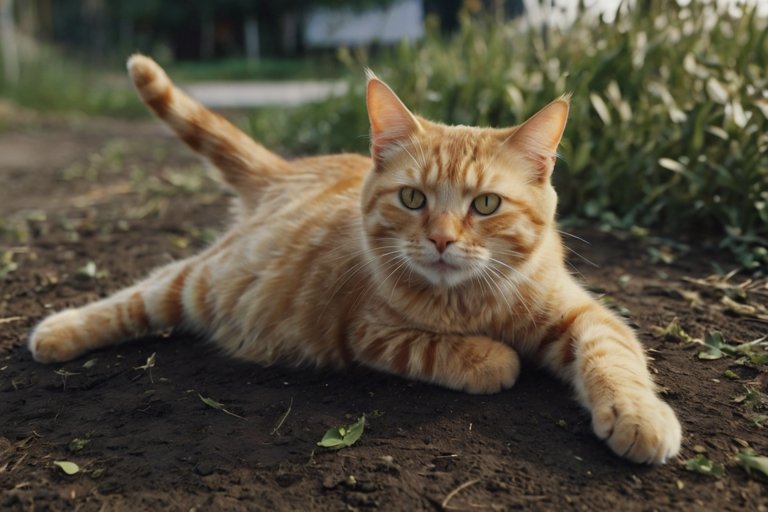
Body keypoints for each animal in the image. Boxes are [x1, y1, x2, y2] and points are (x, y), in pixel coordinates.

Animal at [27, 55, 680, 464]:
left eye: (486, 204)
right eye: (413, 199)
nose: (441, 240)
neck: (471, 298)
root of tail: (291, 170)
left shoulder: (582, 313)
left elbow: (615, 355)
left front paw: (639, 414)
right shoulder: (368, 333)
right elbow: (452, 350)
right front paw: (494, 357)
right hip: (198, 283)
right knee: (138, 295)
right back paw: (56, 332)